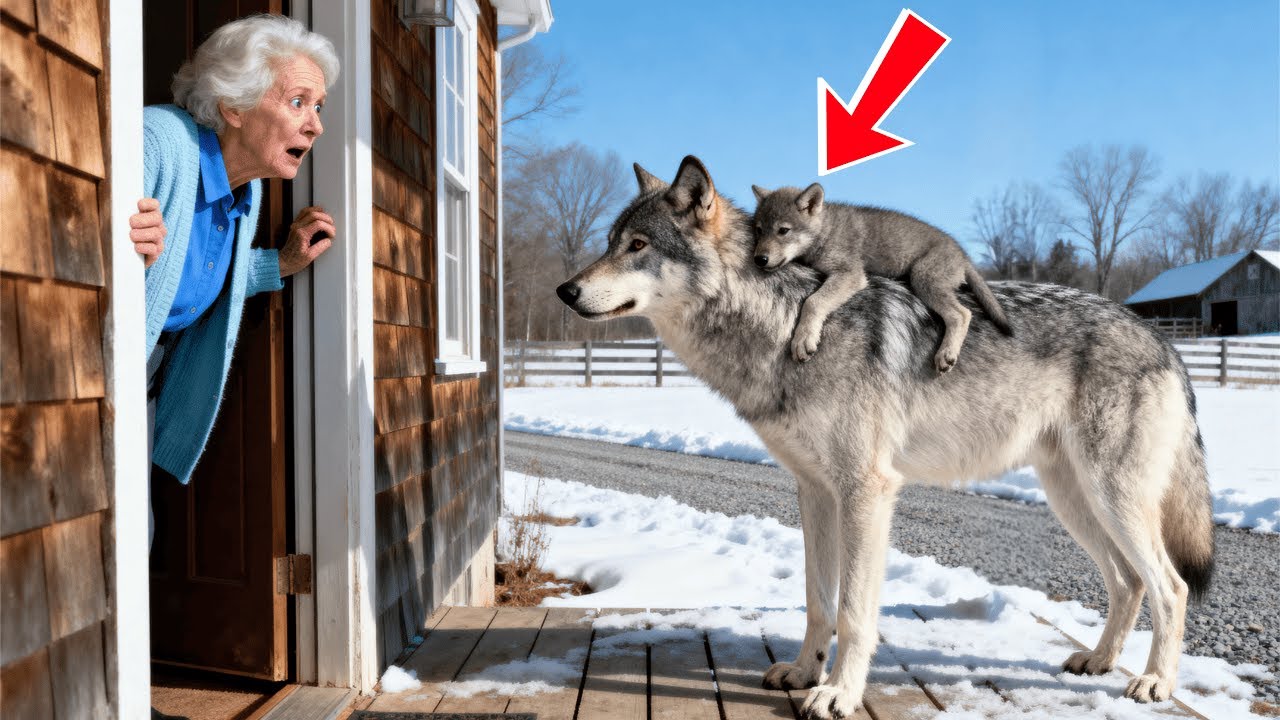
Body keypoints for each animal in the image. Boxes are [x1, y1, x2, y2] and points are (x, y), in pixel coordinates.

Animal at [751, 183, 1011, 370]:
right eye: (759, 230)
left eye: (783, 231)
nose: (759, 259)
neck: (825, 231)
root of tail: (963, 255)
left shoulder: (851, 274)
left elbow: (813, 302)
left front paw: (803, 340)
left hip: (922, 277)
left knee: (962, 314)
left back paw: (946, 354)